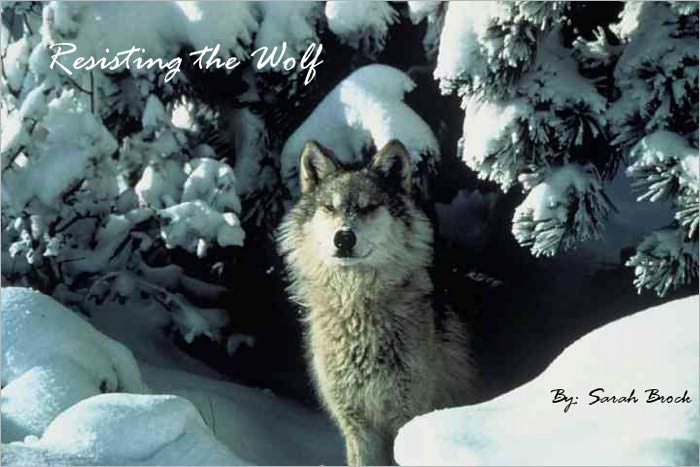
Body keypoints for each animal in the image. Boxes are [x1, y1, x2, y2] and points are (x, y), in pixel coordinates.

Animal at [277, 140, 475, 466]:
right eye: (329, 208)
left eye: (369, 207)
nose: (343, 238)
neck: (357, 310)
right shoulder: (357, 426)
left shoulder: (406, 418)